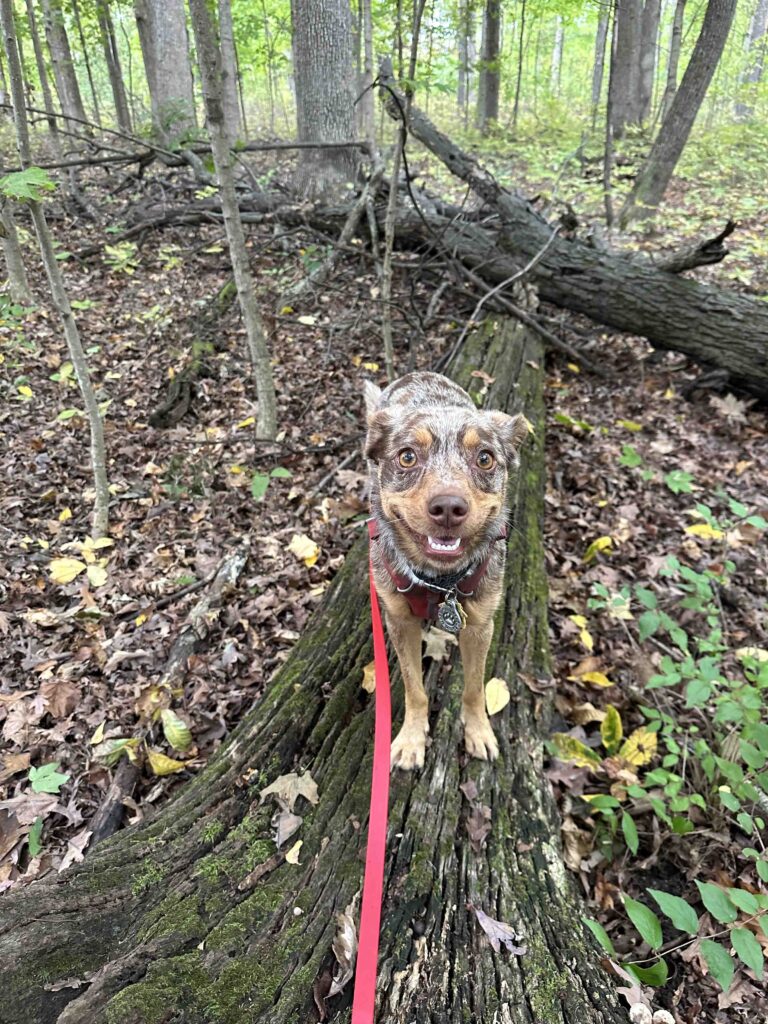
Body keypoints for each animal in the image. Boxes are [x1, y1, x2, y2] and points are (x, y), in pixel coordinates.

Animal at [366, 372, 528, 770]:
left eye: (484, 458)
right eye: (407, 455)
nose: (449, 507)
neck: (440, 582)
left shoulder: (480, 626)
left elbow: (473, 689)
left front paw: (478, 731)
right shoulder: (399, 622)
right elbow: (414, 689)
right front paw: (411, 738)